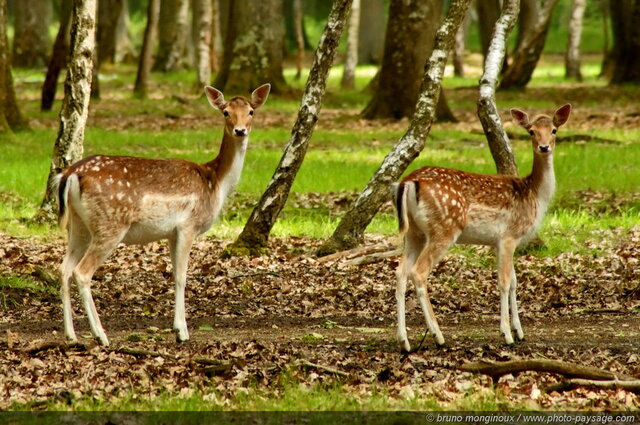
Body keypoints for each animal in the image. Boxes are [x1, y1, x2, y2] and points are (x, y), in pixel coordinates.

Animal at [51, 84, 268, 346]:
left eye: (251, 111)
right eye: (226, 112)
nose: (240, 130)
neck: (215, 183)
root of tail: (69, 175)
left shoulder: (172, 233)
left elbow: (174, 275)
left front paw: (177, 328)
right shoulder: (188, 225)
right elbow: (182, 276)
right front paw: (182, 332)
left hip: (78, 225)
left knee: (63, 269)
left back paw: (71, 335)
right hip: (110, 223)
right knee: (81, 272)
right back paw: (100, 335)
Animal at [392, 104, 572, 350]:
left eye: (554, 130)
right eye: (531, 132)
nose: (544, 147)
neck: (534, 194)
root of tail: (408, 182)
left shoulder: (502, 242)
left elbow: (514, 281)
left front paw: (520, 332)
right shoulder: (508, 236)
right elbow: (504, 281)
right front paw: (506, 334)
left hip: (414, 233)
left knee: (400, 272)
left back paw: (404, 341)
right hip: (444, 228)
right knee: (418, 272)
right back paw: (438, 336)